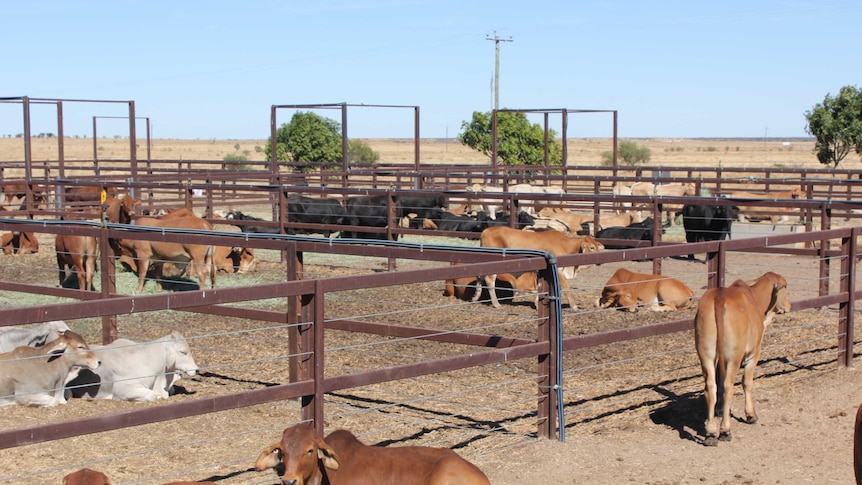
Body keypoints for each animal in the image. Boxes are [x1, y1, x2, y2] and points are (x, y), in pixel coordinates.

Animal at [476, 225, 604, 308]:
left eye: (598, 246)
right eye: (592, 247)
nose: (600, 261)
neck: (565, 244)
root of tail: (485, 231)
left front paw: (537, 303)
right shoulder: (558, 270)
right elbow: (565, 286)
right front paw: (574, 306)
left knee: (480, 276)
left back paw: (475, 297)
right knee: (489, 280)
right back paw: (496, 304)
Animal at [692, 270, 792, 444]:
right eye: (785, 286)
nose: (788, 306)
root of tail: (720, 297)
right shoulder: (754, 352)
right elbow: (747, 382)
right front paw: (751, 415)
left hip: (706, 355)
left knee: (710, 386)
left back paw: (711, 432)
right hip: (734, 357)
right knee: (728, 387)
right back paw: (725, 430)